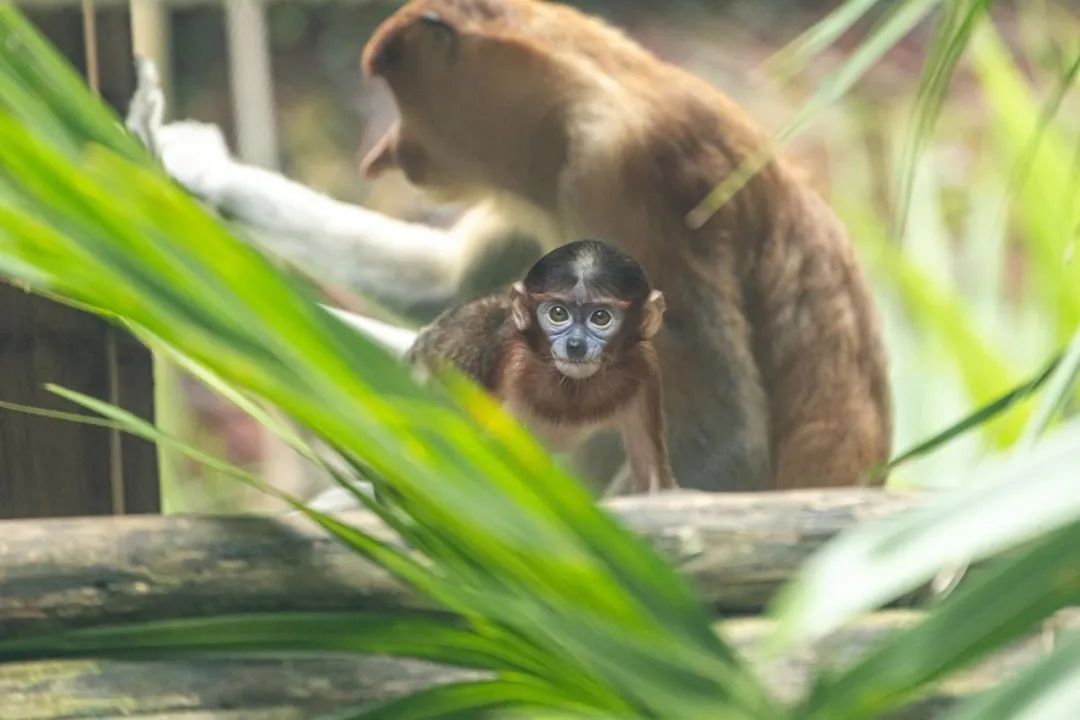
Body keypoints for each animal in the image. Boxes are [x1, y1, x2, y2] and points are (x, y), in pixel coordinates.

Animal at [406, 239, 673, 492]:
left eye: (600, 317)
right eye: (558, 313)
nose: (575, 345)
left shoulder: (645, 366)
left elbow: (652, 479)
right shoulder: (517, 368)